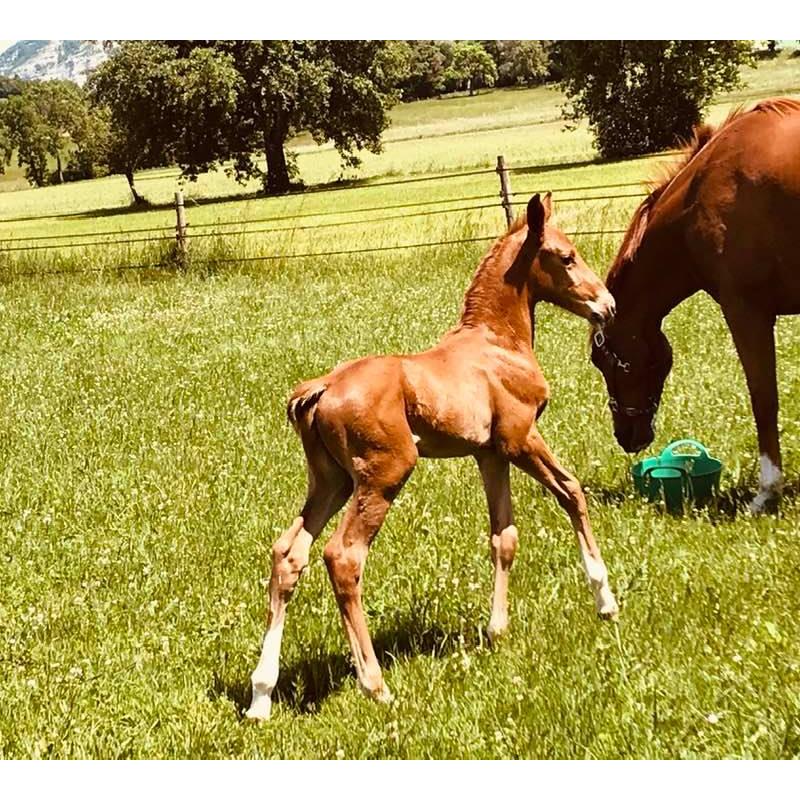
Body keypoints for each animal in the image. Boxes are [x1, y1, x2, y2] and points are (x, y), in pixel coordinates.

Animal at [245, 192, 620, 720]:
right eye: (566, 257)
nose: (607, 305)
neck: (498, 343)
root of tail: (321, 388)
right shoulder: (521, 439)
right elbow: (572, 491)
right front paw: (605, 599)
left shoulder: (489, 455)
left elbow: (504, 536)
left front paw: (497, 630)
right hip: (383, 476)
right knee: (343, 557)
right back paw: (375, 685)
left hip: (331, 481)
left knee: (288, 554)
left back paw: (261, 695)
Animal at [592, 100, 800, 512]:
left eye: (603, 361)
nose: (627, 436)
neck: (703, 189)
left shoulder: (746, 311)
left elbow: (764, 398)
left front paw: (767, 491)